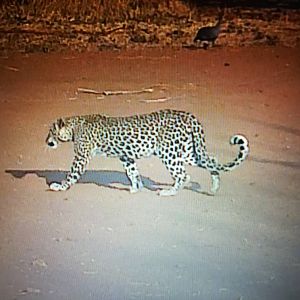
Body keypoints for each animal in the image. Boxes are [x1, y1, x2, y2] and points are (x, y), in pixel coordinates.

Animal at [46, 109, 248, 196]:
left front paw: (59, 186)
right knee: (211, 161)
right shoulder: (126, 157)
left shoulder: (81, 157)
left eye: (51, 131)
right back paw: (214, 187)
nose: (46, 141)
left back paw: (169, 192)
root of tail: (188, 115)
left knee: (183, 175)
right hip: (188, 151)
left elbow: (72, 174)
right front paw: (136, 188)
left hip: (169, 153)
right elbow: (133, 173)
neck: (74, 126)